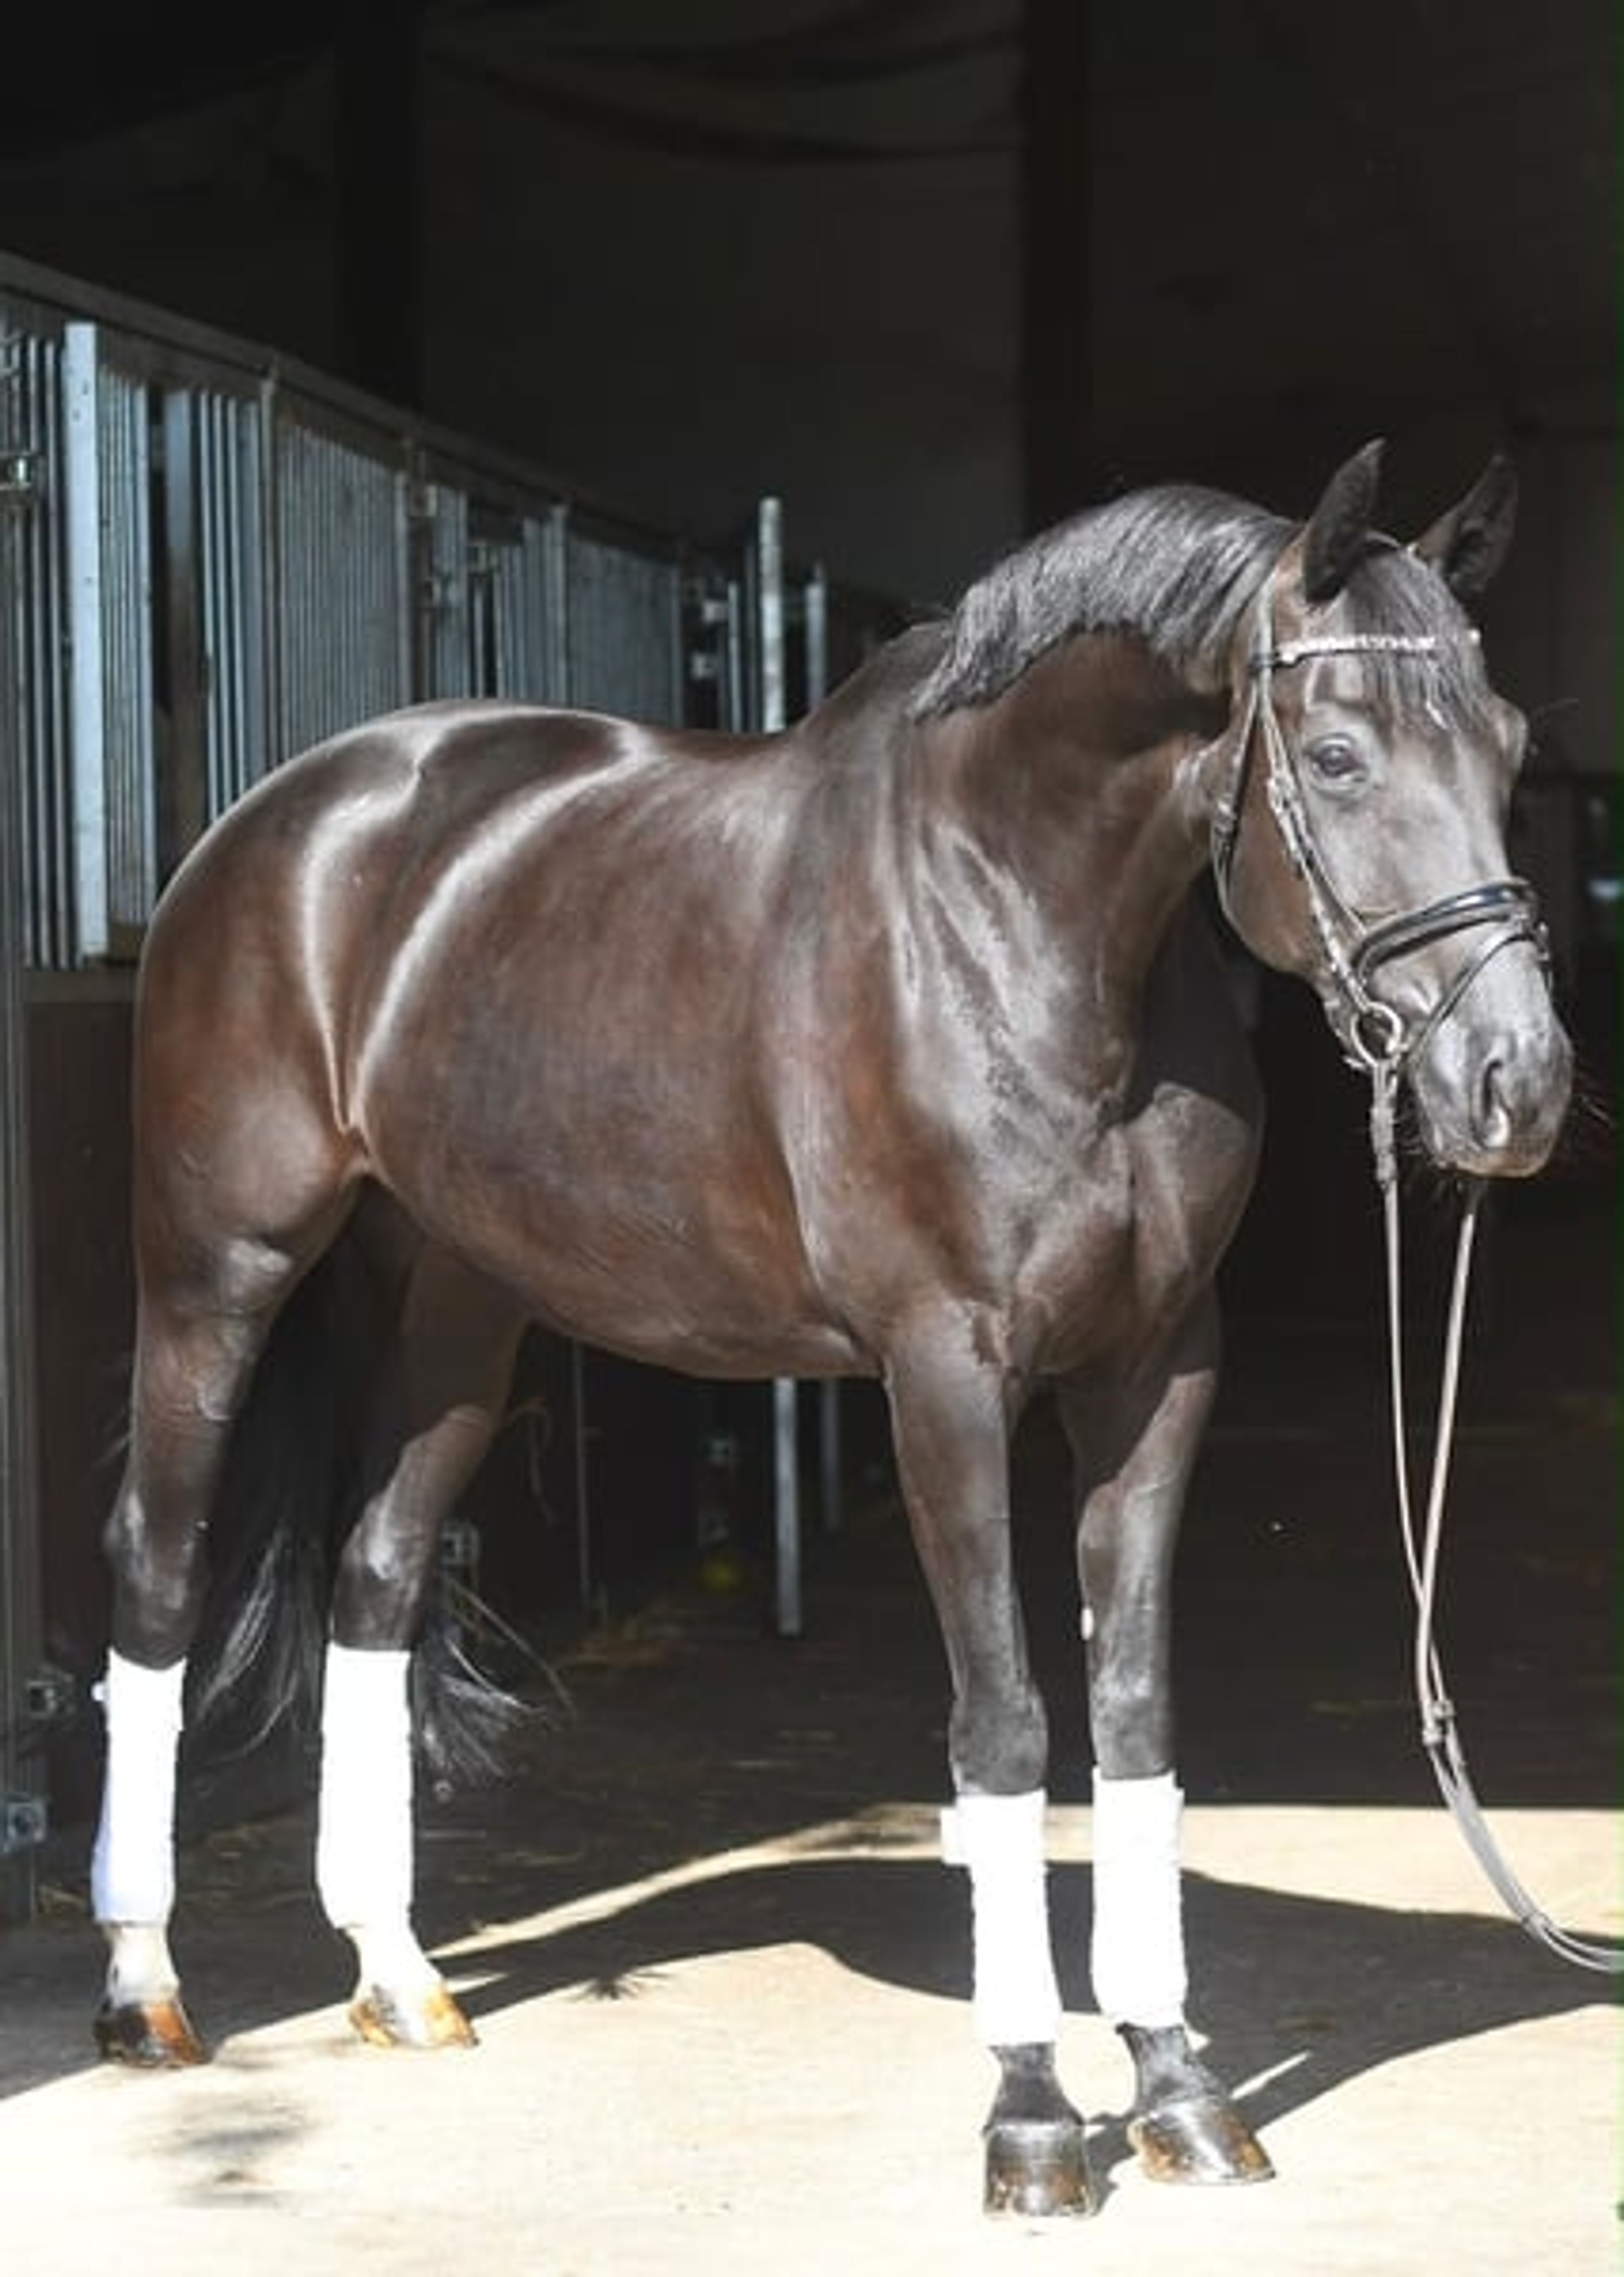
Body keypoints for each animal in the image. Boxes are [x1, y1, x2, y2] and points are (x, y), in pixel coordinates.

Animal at [89, 439, 1570, 2219]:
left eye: (1511, 750)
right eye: (1339, 755)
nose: (1517, 1083)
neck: (1023, 930)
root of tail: (286, 817)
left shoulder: (1157, 1373)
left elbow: (1133, 1718)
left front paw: (1181, 2092)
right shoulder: (946, 1375)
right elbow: (1003, 1726)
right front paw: (1030, 2118)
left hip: (463, 1301)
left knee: (374, 1579)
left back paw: (398, 1977)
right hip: (217, 1271)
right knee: (159, 1570)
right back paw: (145, 1991)